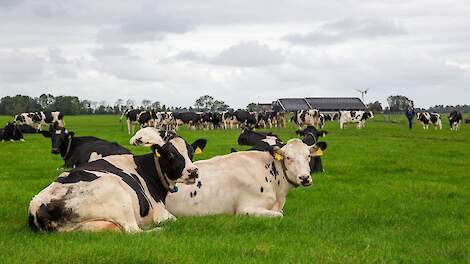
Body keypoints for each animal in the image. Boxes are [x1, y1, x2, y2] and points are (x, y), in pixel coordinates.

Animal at [28, 133, 206, 232]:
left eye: (191, 153)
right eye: (170, 154)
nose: (193, 171)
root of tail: (40, 204)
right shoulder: (161, 213)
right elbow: (175, 219)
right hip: (120, 199)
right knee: (133, 231)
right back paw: (158, 230)